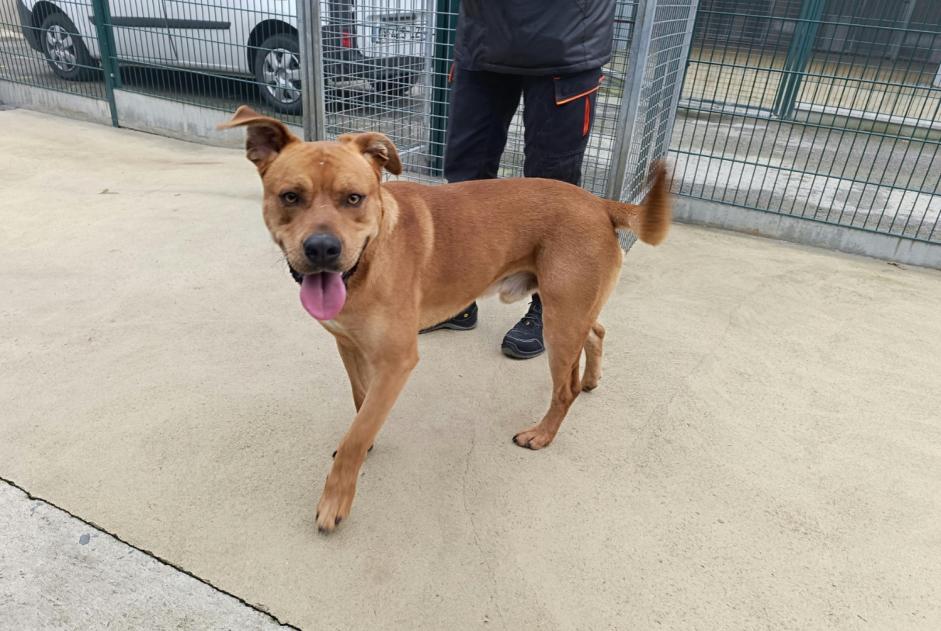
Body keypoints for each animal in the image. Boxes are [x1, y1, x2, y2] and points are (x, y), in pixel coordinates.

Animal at [220, 105, 668, 532]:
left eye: (354, 198)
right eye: (290, 197)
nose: (323, 249)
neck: (368, 261)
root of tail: (598, 202)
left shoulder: (397, 362)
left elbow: (356, 434)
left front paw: (335, 501)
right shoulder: (348, 346)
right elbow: (361, 405)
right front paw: (366, 443)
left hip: (559, 321)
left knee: (564, 389)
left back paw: (542, 433)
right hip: (572, 312)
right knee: (597, 331)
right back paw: (591, 378)